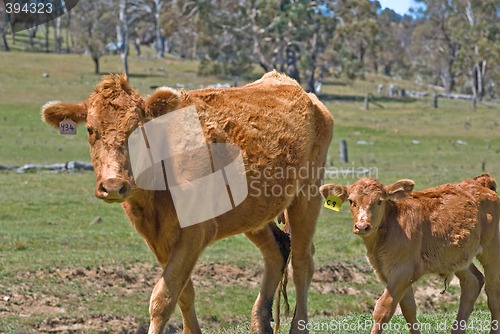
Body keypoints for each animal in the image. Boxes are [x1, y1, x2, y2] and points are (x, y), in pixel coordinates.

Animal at [41, 72, 334, 332]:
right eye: (91, 130)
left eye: (138, 129)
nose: (113, 184)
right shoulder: (158, 238)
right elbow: (183, 292)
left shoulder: (195, 232)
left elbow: (163, 298)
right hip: (253, 212)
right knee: (277, 250)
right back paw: (259, 323)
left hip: (306, 196)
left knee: (302, 263)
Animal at [320, 175, 500, 334]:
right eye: (351, 201)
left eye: (379, 201)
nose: (362, 226)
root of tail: (479, 182)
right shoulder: (390, 272)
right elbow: (408, 309)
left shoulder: (403, 270)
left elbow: (383, 308)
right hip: (456, 257)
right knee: (472, 282)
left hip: (492, 249)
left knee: (493, 292)